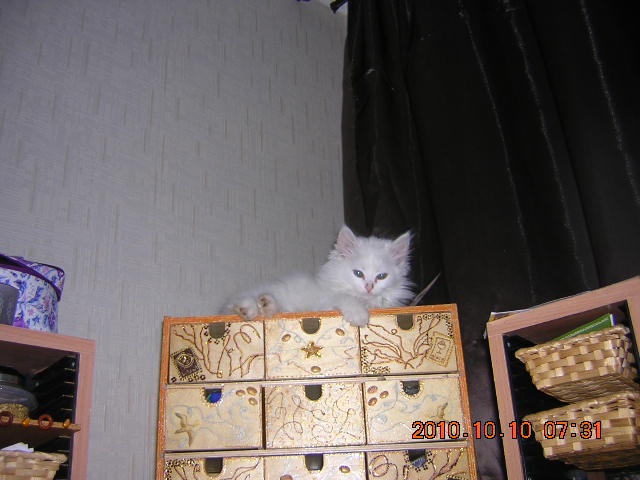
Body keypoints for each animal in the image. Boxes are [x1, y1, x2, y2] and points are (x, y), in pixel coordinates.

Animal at [223, 225, 413, 326]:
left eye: (381, 276)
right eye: (358, 273)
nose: (369, 287)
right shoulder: (325, 302)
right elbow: (345, 297)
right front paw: (358, 316)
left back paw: (265, 305)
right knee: (241, 304)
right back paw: (249, 308)